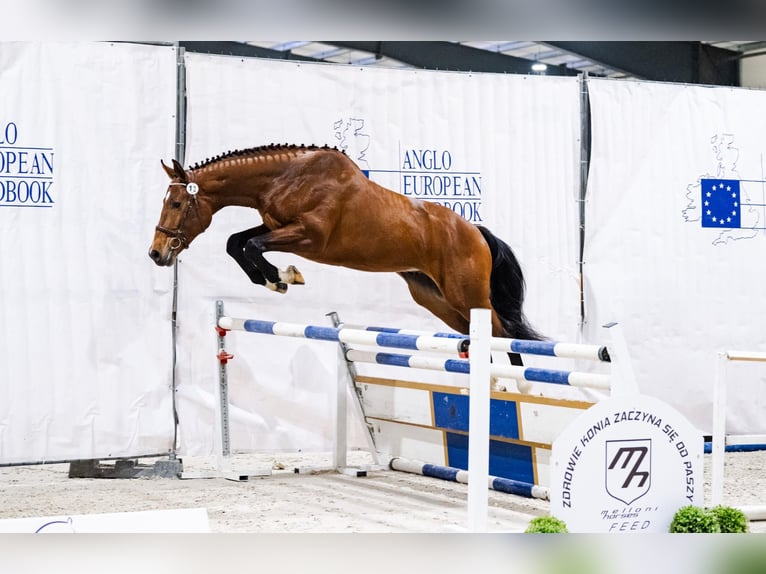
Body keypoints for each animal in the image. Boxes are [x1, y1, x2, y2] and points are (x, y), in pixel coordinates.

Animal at [148, 144, 543, 359]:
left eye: (178, 203)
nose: (156, 254)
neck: (287, 176)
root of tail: (474, 231)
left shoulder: (310, 237)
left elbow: (252, 245)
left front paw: (282, 277)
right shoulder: (276, 225)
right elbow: (237, 242)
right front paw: (275, 279)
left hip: (468, 295)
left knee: (503, 335)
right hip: (437, 298)